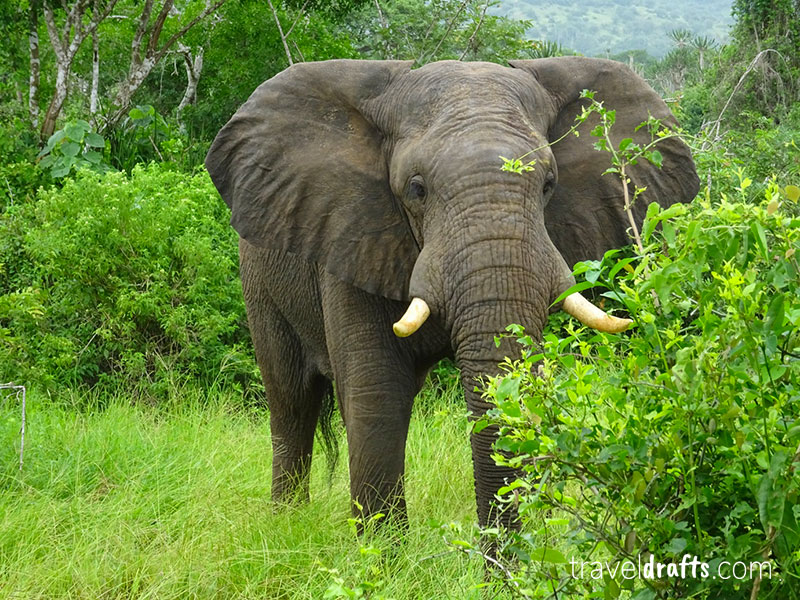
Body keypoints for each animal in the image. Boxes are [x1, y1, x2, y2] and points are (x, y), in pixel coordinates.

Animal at [205, 57, 700, 529]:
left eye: (548, 185)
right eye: (416, 189)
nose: (495, 561)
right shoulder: (352, 237)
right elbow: (377, 398)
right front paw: (381, 557)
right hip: (261, 286)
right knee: (291, 404)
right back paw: (285, 523)